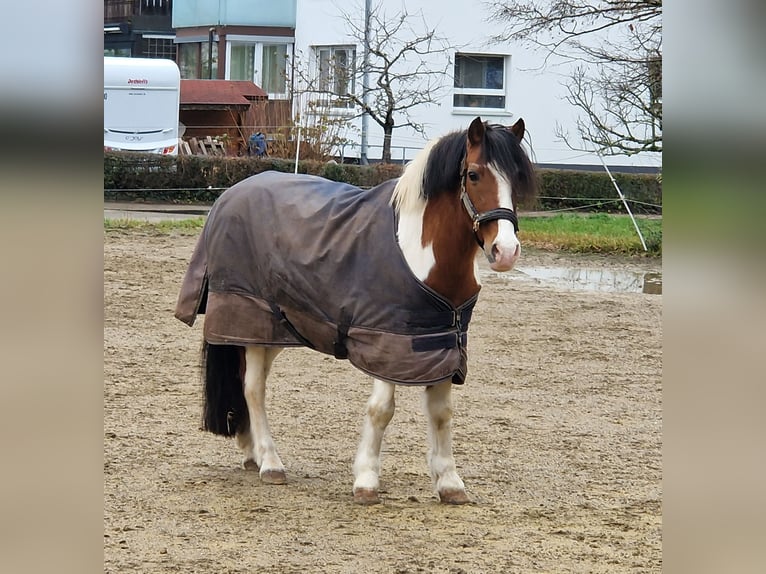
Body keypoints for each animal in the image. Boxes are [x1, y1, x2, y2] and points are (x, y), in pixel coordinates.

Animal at [183, 119, 536, 506]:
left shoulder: (442, 345)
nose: (505, 251)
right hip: (253, 322)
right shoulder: (386, 343)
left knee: (247, 381)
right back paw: (271, 462)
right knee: (253, 390)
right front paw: (366, 480)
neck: (422, 257)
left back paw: (251, 452)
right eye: (473, 175)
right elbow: (381, 410)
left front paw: (449, 483)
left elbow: (441, 413)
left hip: (273, 330)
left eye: (517, 178)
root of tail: (231, 194)